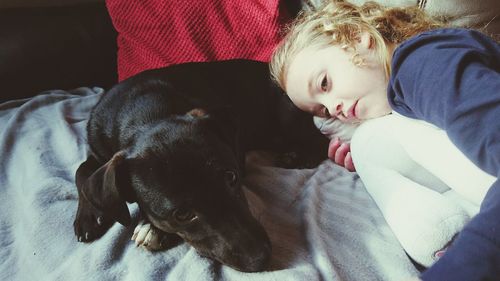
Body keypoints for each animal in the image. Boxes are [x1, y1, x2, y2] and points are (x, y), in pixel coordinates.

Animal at [73, 59, 328, 272]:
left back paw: (298, 156)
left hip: (286, 114)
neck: (145, 113)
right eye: (182, 214)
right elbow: (81, 172)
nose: (261, 258)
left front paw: (152, 228)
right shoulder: (97, 153)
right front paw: (88, 216)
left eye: (231, 177)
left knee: (321, 139)